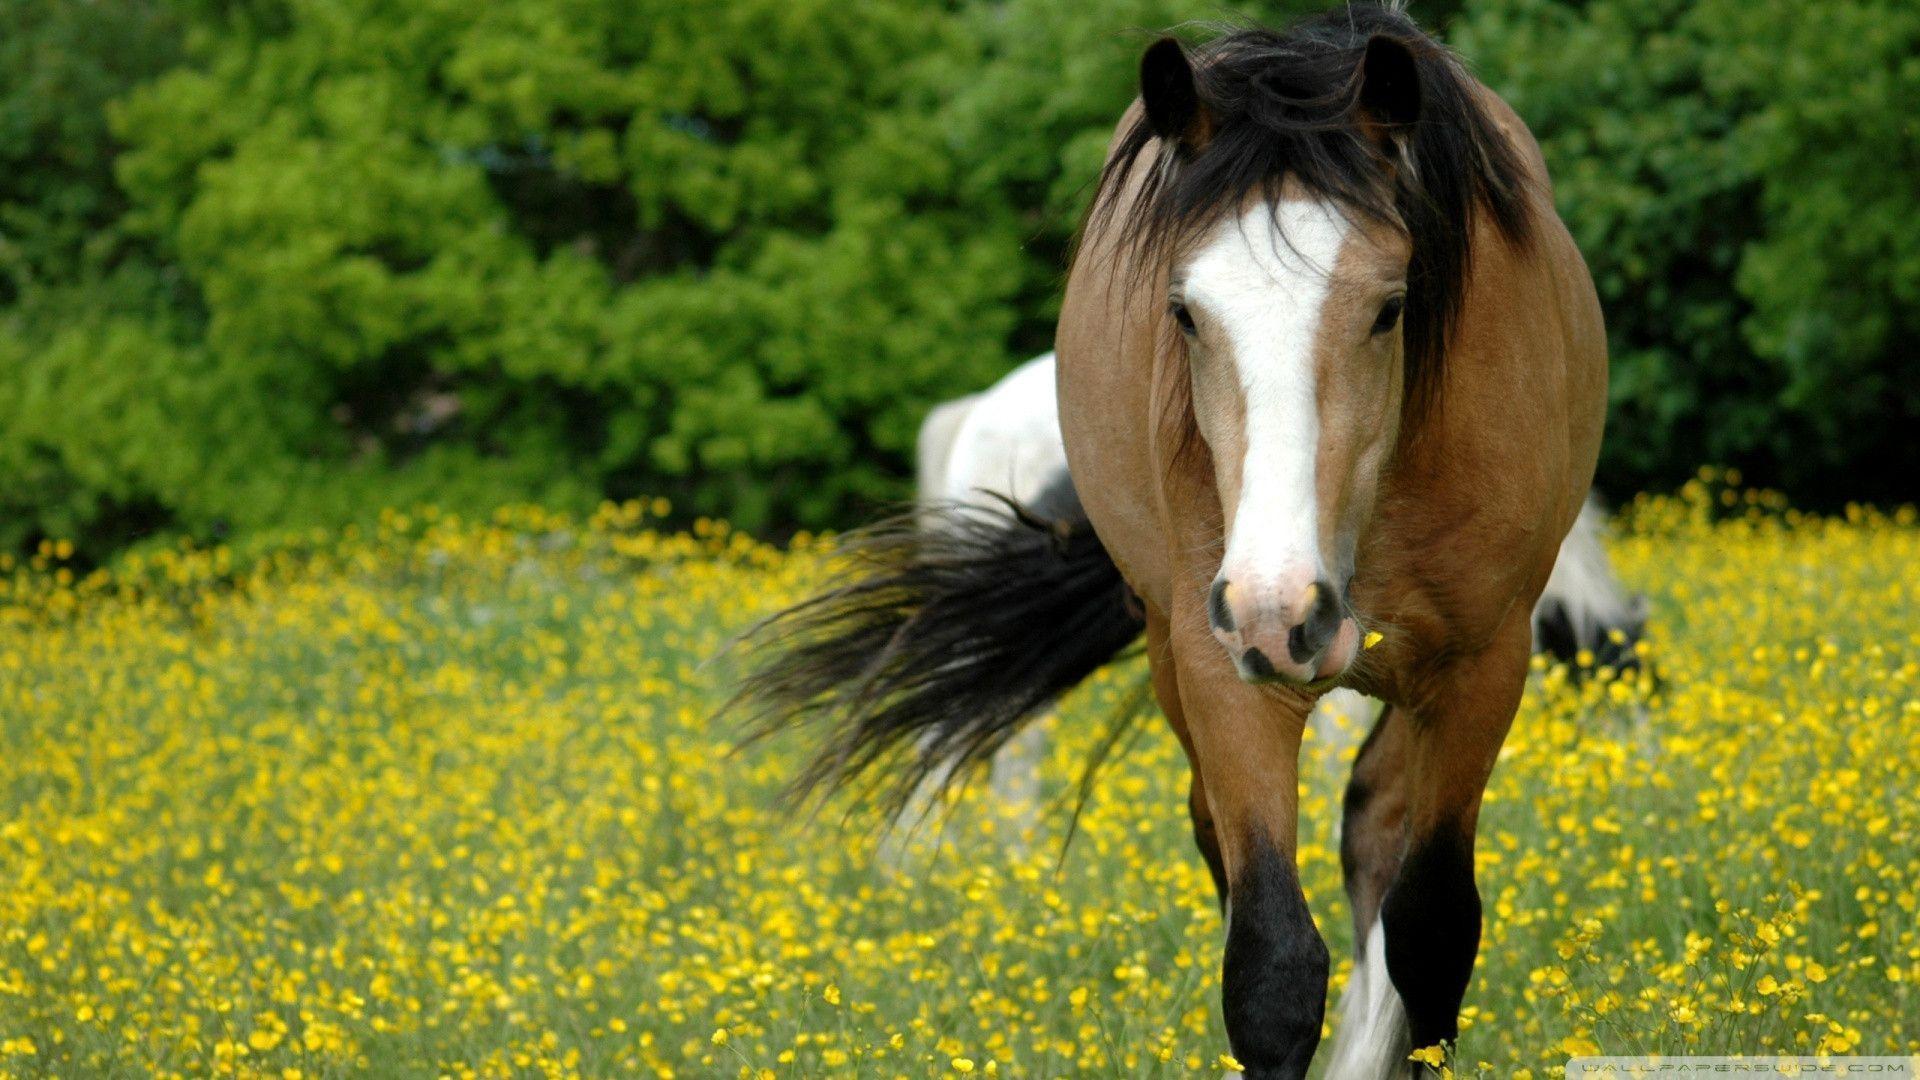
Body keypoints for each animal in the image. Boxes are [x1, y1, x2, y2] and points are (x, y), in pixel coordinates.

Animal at [730, 7, 1608, 1076]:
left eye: (1390, 307)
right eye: (1185, 312)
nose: (1283, 608)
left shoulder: (1482, 667)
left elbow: (1432, 933)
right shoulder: (1222, 664)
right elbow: (1271, 965)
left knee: (1376, 829)